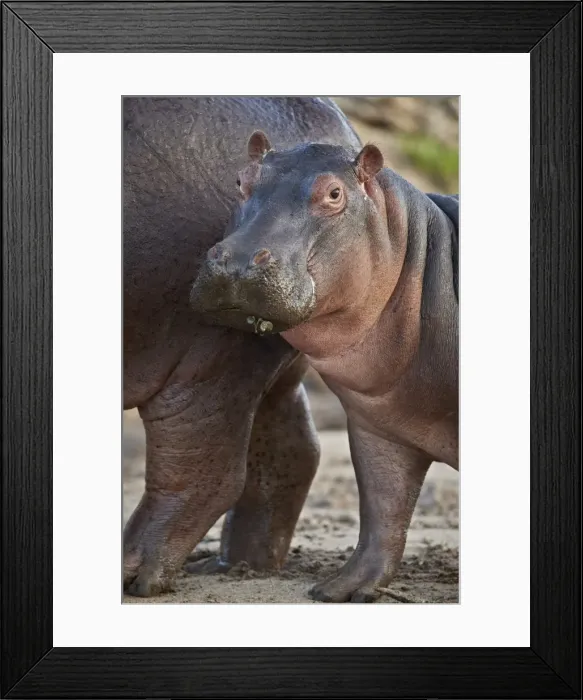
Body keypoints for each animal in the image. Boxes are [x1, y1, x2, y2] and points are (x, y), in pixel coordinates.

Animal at [123, 98, 361, 596]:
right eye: (240, 183)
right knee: (291, 447)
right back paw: (236, 566)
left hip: (209, 354)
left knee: (201, 463)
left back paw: (136, 574)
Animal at [190, 132, 459, 602]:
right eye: (241, 179)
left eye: (334, 193)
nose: (237, 263)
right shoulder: (377, 427)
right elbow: (382, 509)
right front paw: (342, 591)